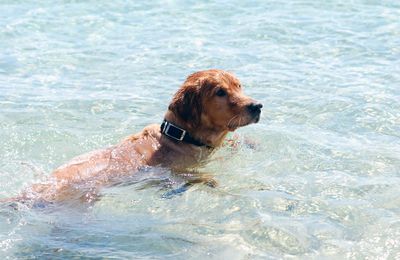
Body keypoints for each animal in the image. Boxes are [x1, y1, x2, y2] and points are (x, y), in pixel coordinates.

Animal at [7, 70, 262, 204]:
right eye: (220, 92)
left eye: (239, 86)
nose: (257, 106)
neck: (179, 136)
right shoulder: (175, 172)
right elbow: (203, 177)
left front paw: (250, 143)